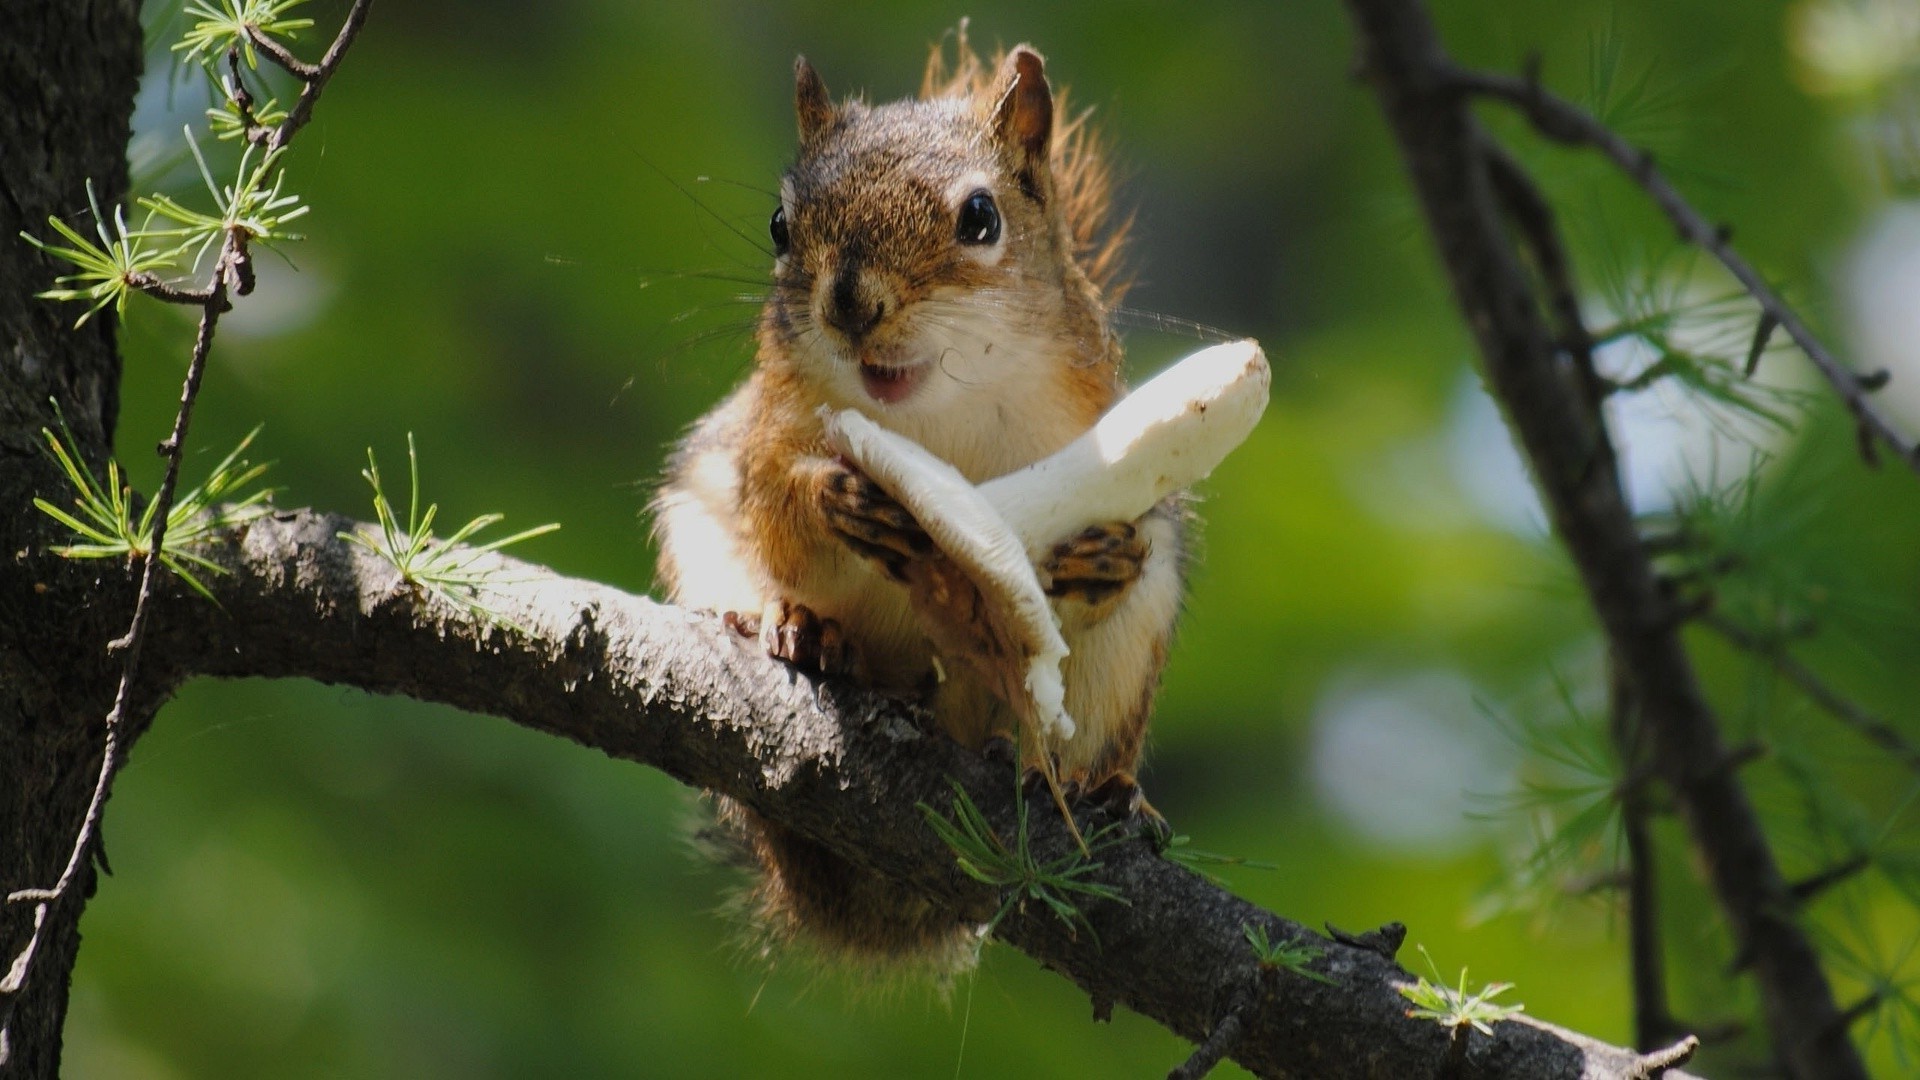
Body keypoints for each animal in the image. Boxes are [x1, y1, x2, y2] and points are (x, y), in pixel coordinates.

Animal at [652, 31, 1175, 968]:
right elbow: (777, 503)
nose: (849, 303)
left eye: (982, 219)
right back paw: (799, 630)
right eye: (780, 224)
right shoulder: (766, 429)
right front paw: (829, 497)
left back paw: (1098, 786)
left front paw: (1106, 556)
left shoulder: (1096, 433)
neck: (931, 415)